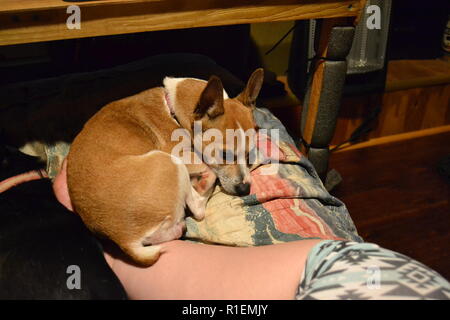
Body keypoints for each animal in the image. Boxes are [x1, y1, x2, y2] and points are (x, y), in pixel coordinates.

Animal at [67, 69, 264, 266]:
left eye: (249, 154)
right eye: (224, 155)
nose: (245, 189)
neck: (174, 109)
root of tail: (124, 240)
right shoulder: (182, 153)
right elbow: (207, 166)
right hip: (169, 161)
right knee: (198, 209)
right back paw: (203, 183)